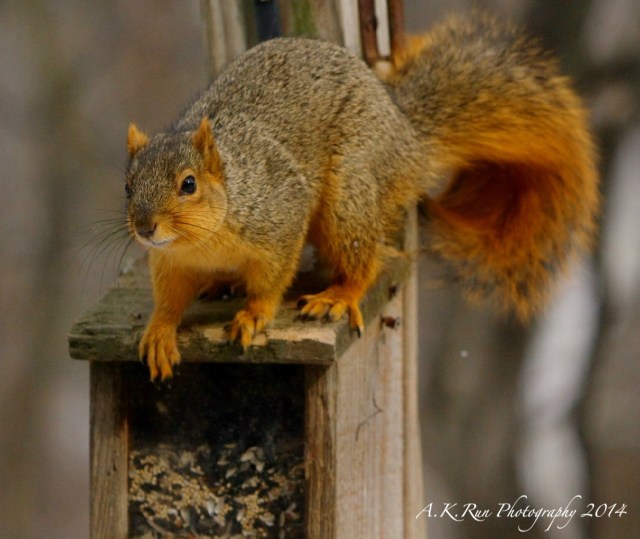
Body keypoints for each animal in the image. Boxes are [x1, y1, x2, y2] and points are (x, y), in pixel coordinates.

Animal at [125, 14, 599, 381]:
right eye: (128, 186)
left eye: (189, 184)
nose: (145, 228)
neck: (202, 241)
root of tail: (407, 142)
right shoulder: (170, 262)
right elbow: (169, 298)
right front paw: (160, 331)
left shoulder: (280, 217)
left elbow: (272, 277)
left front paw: (254, 313)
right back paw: (224, 282)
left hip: (348, 196)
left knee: (362, 260)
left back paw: (339, 294)